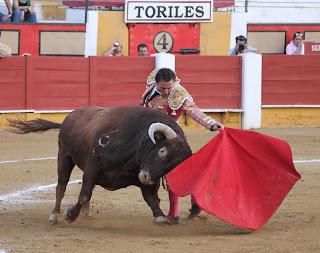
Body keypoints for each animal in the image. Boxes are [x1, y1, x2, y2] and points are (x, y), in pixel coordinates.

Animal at [8, 105, 192, 224]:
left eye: (173, 165)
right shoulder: (93, 168)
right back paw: (55, 214)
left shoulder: (144, 180)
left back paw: (86, 212)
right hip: (64, 156)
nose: (146, 176)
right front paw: (70, 214)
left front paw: (160, 216)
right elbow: (84, 194)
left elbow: (152, 199)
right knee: (61, 186)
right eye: (162, 151)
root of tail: (70, 117)